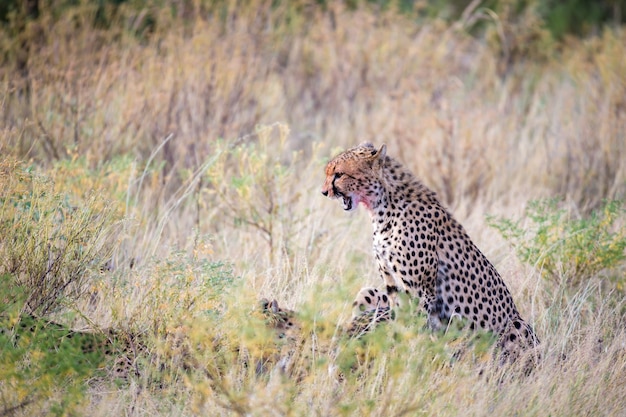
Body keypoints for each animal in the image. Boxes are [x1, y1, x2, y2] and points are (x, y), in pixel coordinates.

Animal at [322, 142, 536, 360]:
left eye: (339, 174)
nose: (324, 192)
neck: (381, 207)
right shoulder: (391, 284)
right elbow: (398, 318)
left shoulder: (420, 289)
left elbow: (413, 324)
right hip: (369, 291)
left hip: (516, 326)